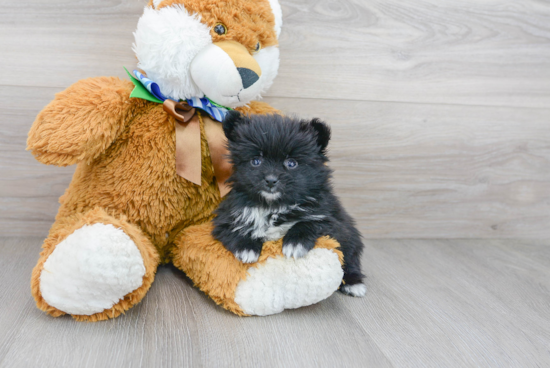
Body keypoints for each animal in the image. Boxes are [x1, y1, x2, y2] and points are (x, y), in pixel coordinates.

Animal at [213, 111, 368, 296]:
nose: (271, 180)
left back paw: (354, 282)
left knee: (351, 258)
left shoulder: (332, 220)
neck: (274, 206)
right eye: (256, 161)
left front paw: (295, 243)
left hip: (351, 235)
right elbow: (234, 229)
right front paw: (247, 247)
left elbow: (309, 223)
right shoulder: (225, 218)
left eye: (291, 163)